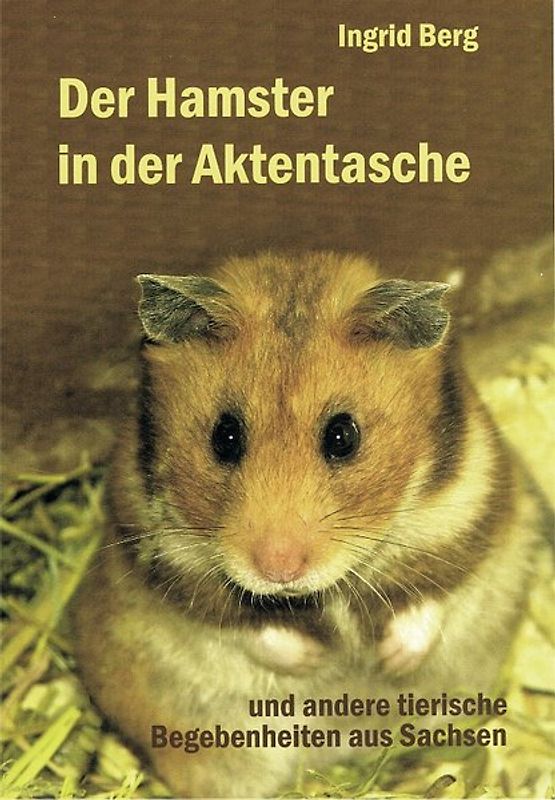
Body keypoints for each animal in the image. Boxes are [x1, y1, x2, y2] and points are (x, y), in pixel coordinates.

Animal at [72, 252, 540, 798]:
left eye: (343, 435)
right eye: (224, 436)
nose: (279, 569)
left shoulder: (469, 519)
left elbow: (431, 601)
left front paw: (389, 659)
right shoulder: (173, 568)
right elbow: (247, 626)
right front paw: (316, 660)